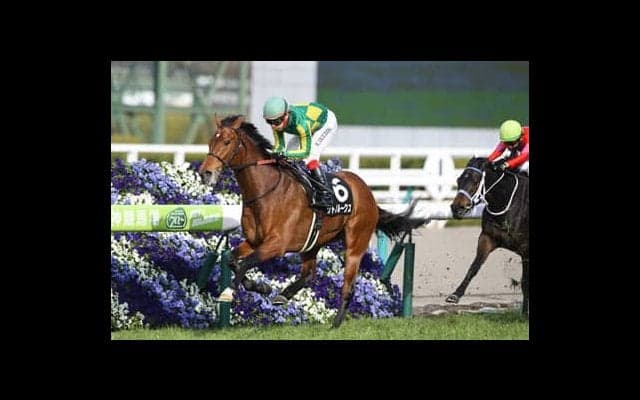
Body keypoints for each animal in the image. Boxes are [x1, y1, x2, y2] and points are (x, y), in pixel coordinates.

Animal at [199, 115, 428, 328]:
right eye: (210, 141)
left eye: (227, 141)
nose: (205, 172)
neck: (266, 192)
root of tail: (367, 192)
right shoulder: (254, 241)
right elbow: (232, 260)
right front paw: (261, 287)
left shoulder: (277, 244)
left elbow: (246, 262)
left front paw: (228, 292)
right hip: (313, 243)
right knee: (309, 274)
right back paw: (284, 295)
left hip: (355, 243)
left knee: (348, 285)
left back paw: (335, 323)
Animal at [448, 157, 529, 315]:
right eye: (458, 179)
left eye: (475, 180)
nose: (456, 208)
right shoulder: (487, 238)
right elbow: (474, 267)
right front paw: (455, 295)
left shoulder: (525, 249)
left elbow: (525, 282)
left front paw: (524, 314)